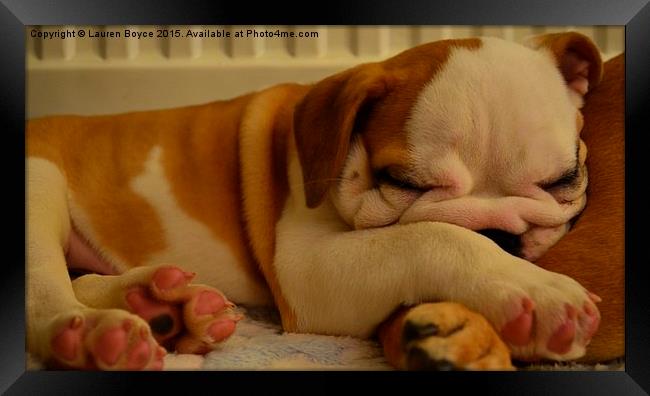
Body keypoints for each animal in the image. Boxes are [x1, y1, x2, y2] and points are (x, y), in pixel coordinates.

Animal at [27, 31, 600, 372]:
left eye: (565, 179)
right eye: (402, 182)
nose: (500, 236)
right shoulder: (308, 270)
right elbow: (430, 236)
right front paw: (534, 291)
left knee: (83, 278)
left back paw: (164, 305)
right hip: (39, 188)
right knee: (47, 293)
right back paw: (92, 334)